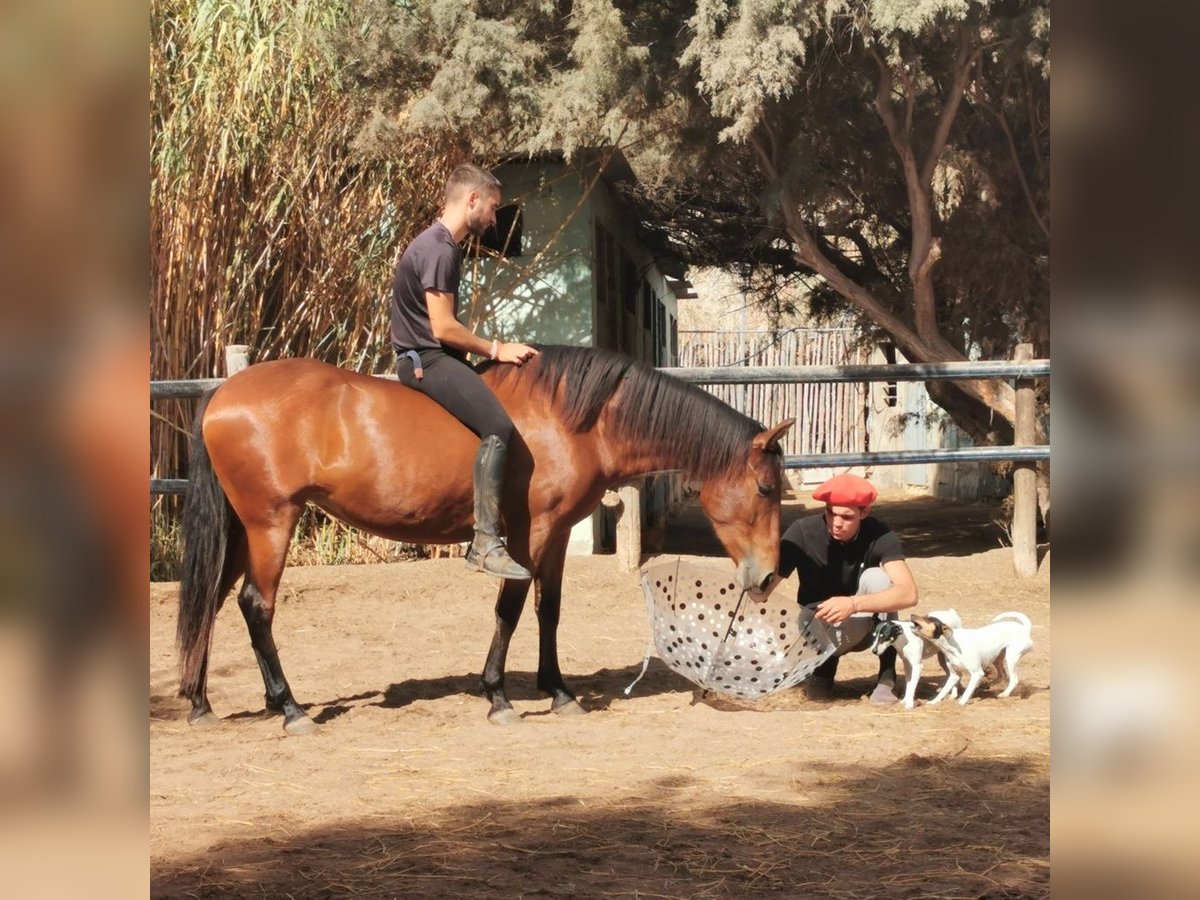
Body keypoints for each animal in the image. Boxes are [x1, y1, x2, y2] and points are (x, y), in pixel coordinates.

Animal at [177, 345, 794, 733]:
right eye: (766, 488)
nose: (767, 576)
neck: (572, 421)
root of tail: (223, 394)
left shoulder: (558, 533)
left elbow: (550, 609)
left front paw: (558, 690)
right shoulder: (531, 534)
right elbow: (511, 608)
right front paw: (497, 695)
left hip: (244, 529)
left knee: (211, 600)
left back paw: (201, 701)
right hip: (271, 523)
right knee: (256, 606)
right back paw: (290, 708)